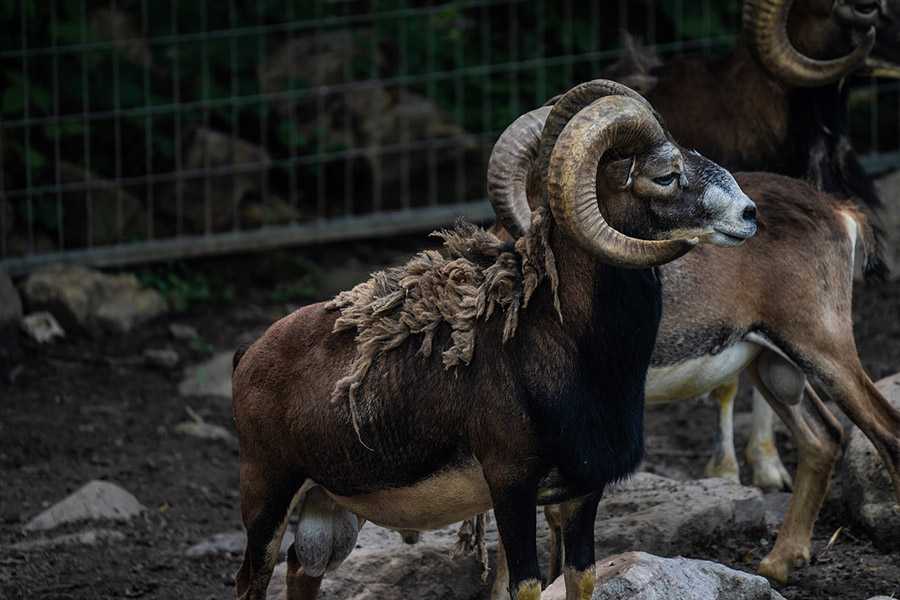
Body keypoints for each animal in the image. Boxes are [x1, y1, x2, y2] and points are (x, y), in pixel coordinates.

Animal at [230, 79, 757, 600]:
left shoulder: (583, 492)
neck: (570, 349)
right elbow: (524, 584)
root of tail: (248, 356)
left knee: (302, 569)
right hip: (268, 494)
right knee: (252, 578)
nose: (749, 214)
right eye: (665, 175)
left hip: (328, 508)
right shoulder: (510, 486)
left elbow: (581, 575)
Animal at [485, 103, 900, 590]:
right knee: (823, 436)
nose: (748, 214)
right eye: (666, 175)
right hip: (769, 360)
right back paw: (778, 563)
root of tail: (837, 210)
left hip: (823, 347)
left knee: (884, 432)